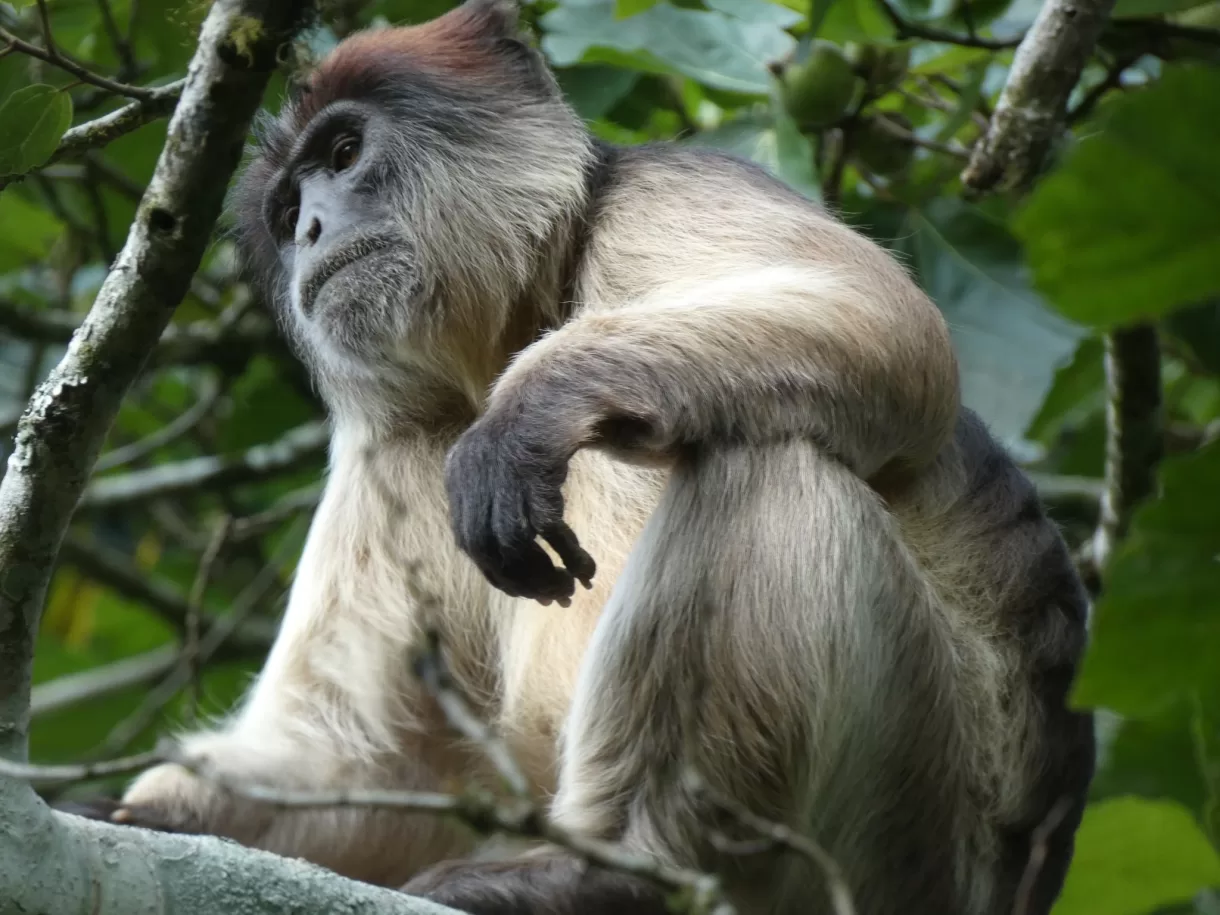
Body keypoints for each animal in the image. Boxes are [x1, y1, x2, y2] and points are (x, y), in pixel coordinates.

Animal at [66, 1, 1096, 912]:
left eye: (344, 155)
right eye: (287, 211)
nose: (313, 230)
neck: (528, 308)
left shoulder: (666, 188)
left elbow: (891, 329)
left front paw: (528, 412)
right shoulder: (398, 436)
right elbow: (372, 761)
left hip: (909, 830)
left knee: (760, 457)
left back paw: (627, 869)